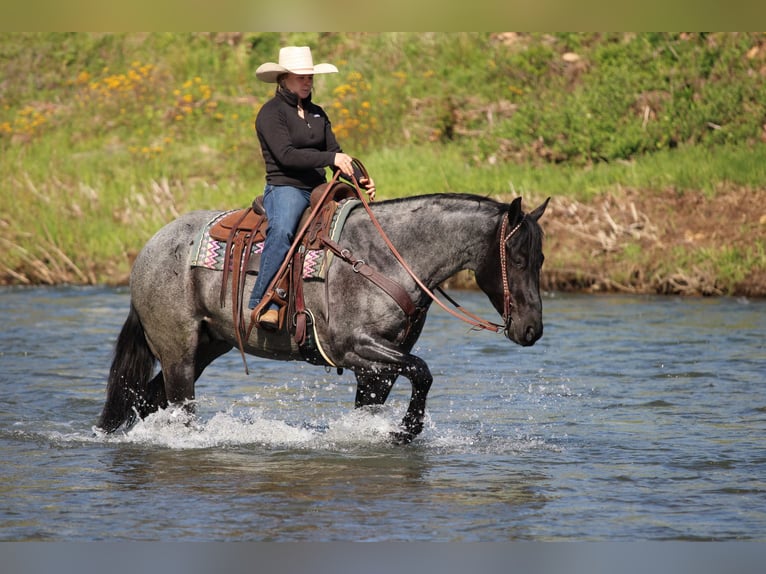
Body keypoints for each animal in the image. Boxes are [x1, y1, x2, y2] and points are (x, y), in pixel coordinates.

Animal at [98, 193, 549, 444]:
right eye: (518, 258)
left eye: (541, 258)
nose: (532, 330)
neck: (384, 257)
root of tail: (151, 247)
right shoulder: (354, 348)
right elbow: (423, 372)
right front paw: (406, 430)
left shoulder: (378, 366)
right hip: (178, 353)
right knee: (179, 409)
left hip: (207, 347)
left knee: (147, 399)